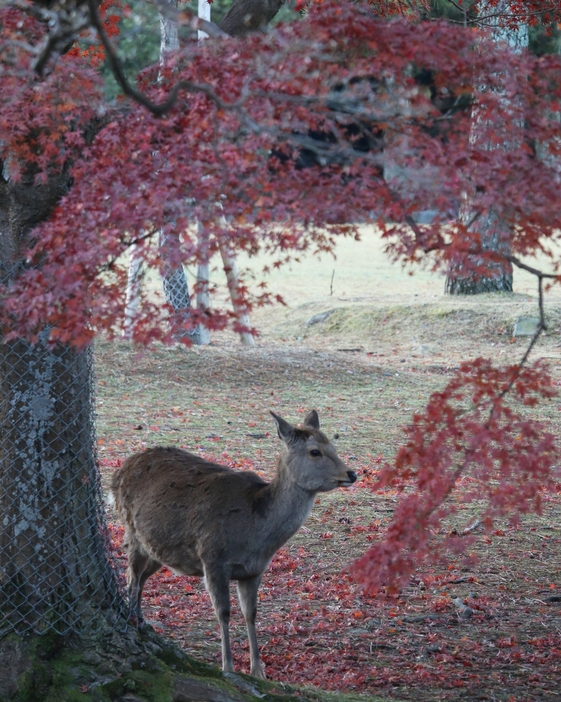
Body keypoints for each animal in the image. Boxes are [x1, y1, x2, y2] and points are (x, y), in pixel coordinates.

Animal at [110, 410, 354, 680]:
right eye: (314, 451)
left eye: (332, 445)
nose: (351, 474)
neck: (255, 535)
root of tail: (120, 470)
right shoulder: (212, 558)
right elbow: (223, 612)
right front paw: (228, 667)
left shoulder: (254, 570)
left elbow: (251, 613)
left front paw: (258, 670)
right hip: (132, 531)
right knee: (131, 578)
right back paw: (133, 622)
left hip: (157, 549)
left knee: (141, 579)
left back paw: (143, 621)